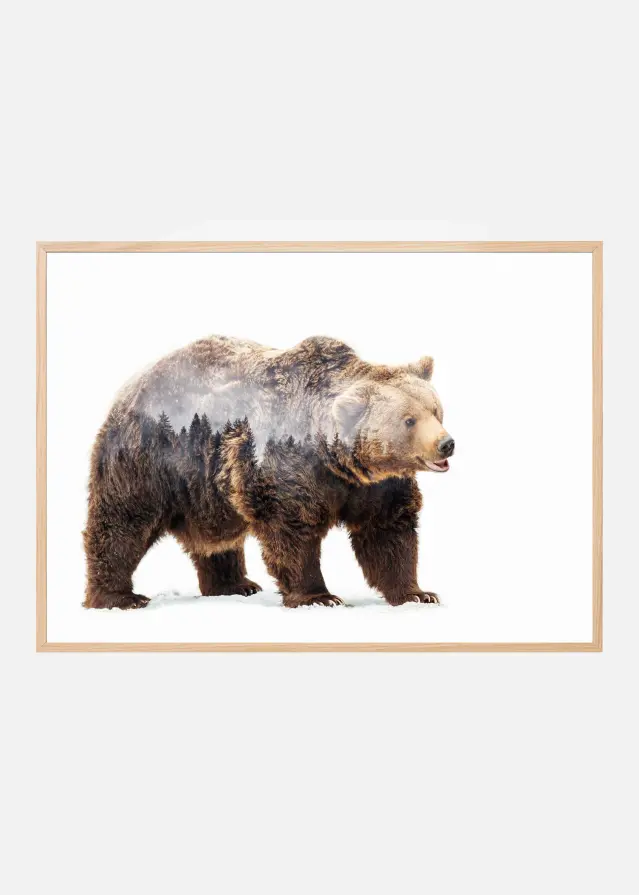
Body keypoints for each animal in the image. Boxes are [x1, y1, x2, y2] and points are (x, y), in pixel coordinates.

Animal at [83, 335, 455, 609]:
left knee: (216, 540)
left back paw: (234, 584)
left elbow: (388, 532)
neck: (339, 462)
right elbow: (292, 530)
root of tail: (131, 384)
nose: (446, 444)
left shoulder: (376, 486)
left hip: (206, 487)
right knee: (124, 521)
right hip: (151, 456)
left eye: (436, 410)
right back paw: (119, 596)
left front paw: (417, 593)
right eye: (409, 420)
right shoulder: (287, 466)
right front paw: (319, 596)